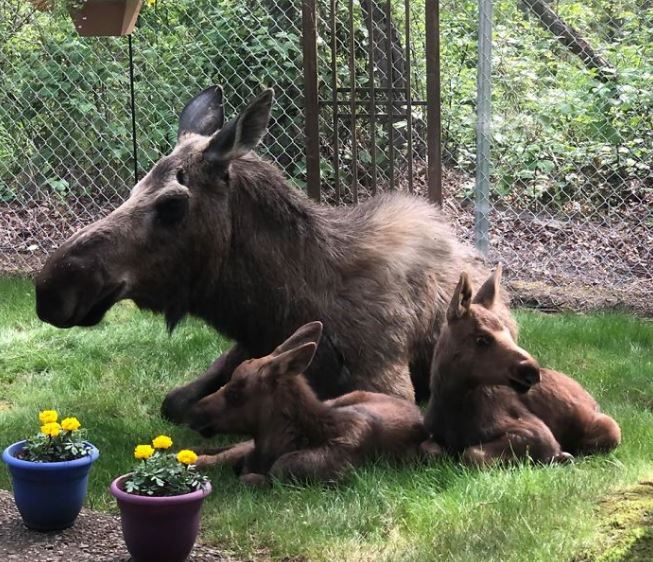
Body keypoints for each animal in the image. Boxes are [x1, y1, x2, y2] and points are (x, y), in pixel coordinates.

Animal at [35, 85, 516, 422]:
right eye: (133, 189)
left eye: (172, 205)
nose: (52, 288)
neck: (282, 304)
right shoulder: (246, 343)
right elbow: (175, 402)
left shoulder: (387, 379)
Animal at [420, 266, 620, 464]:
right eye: (482, 339)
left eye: (509, 333)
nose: (532, 372)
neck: (451, 405)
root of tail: (592, 400)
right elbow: (431, 450)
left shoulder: (537, 432)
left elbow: (471, 454)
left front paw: (561, 456)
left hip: (610, 427)